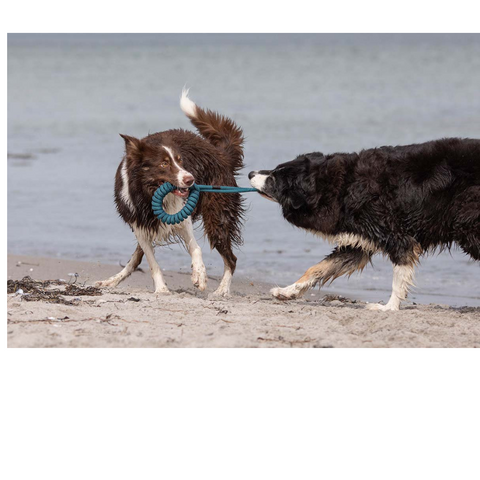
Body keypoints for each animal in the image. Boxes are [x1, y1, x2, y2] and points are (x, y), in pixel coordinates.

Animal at [251, 138, 480, 312]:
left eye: (273, 179)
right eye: (273, 170)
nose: (250, 174)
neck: (339, 187)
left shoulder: (396, 237)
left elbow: (398, 278)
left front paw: (389, 307)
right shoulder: (359, 241)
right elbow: (317, 268)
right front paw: (287, 291)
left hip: (468, 227)